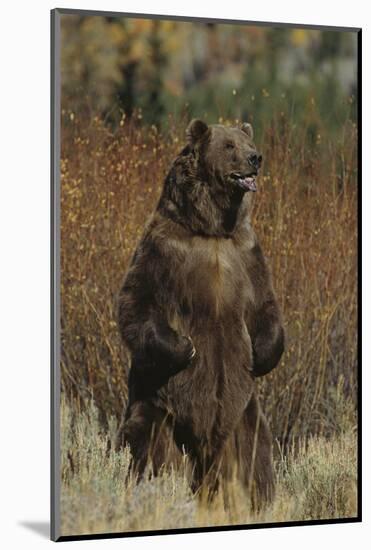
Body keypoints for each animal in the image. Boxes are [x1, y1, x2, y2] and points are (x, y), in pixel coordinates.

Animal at [116, 118, 284, 506]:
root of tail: (205, 446)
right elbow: (137, 301)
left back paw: (255, 499)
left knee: (253, 454)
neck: (212, 228)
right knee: (149, 450)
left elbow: (265, 304)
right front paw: (187, 348)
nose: (255, 158)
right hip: (159, 406)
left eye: (246, 141)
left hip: (241, 410)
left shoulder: (245, 253)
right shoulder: (165, 248)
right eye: (229, 146)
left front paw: (262, 355)